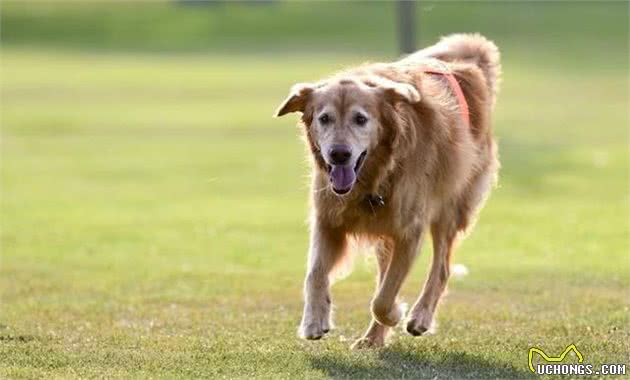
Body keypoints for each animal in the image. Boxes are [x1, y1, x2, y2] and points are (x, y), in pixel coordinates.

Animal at [274, 34, 502, 348]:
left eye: (361, 119)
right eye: (324, 118)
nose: (339, 154)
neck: (377, 175)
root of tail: (466, 64)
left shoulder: (409, 232)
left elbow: (383, 298)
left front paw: (396, 312)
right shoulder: (328, 221)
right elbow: (315, 274)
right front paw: (314, 320)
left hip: (448, 209)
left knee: (441, 269)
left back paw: (419, 317)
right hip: (385, 232)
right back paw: (373, 338)